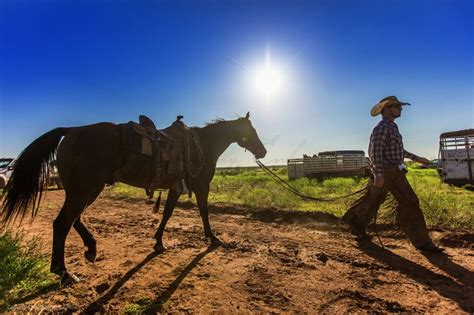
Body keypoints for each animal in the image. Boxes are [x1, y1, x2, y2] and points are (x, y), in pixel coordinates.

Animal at [0, 113, 266, 284]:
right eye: (251, 131)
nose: (262, 151)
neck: (203, 144)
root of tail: (71, 131)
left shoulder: (175, 188)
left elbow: (168, 213)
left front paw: (158, 241)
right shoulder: (201, 186)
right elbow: (204, 212)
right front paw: (213, 238)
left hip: (86, 190)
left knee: (74, 219)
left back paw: (91, 248)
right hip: (84, 190)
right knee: (62, 223)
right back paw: (64, 272)